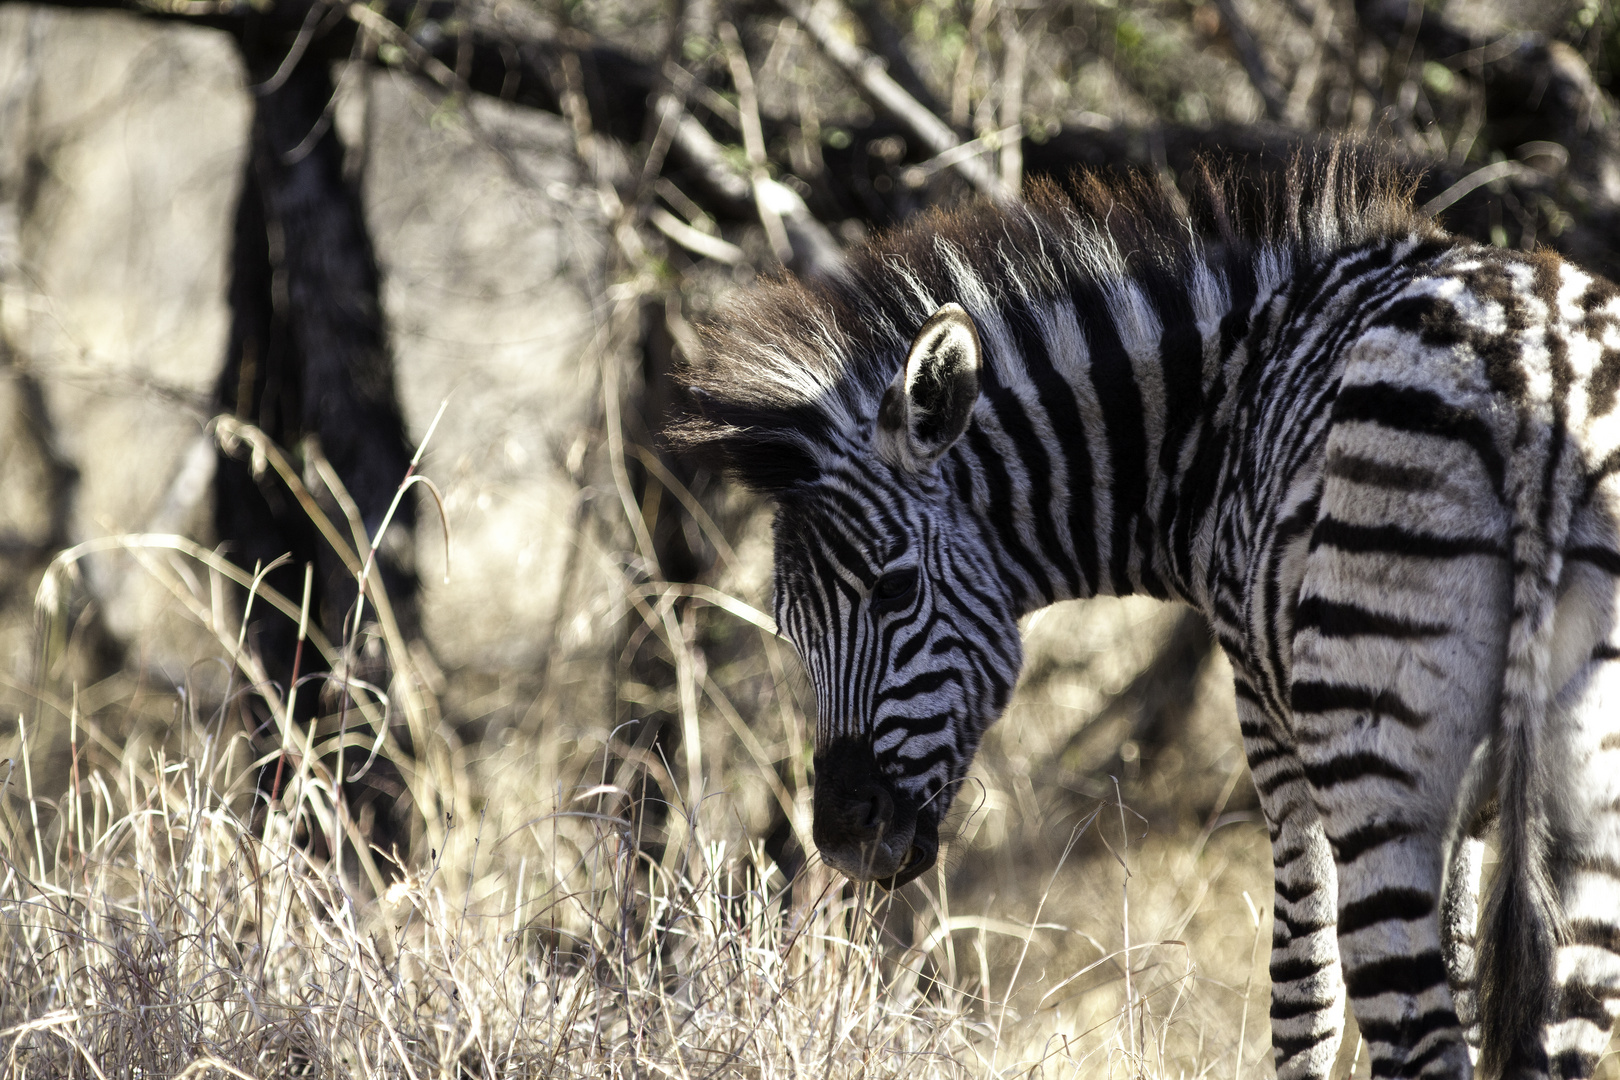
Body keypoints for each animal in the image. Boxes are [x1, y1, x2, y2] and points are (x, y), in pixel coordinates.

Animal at [667, 149, 1620, 1080]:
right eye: (790, 631)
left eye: (895, 590)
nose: (842, 842)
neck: (1216, 419)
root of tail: (1543, 370)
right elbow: (1456, 973)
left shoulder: (1271, 721)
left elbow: (1303, 997)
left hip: (1369, 738)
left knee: (1417, 1035)